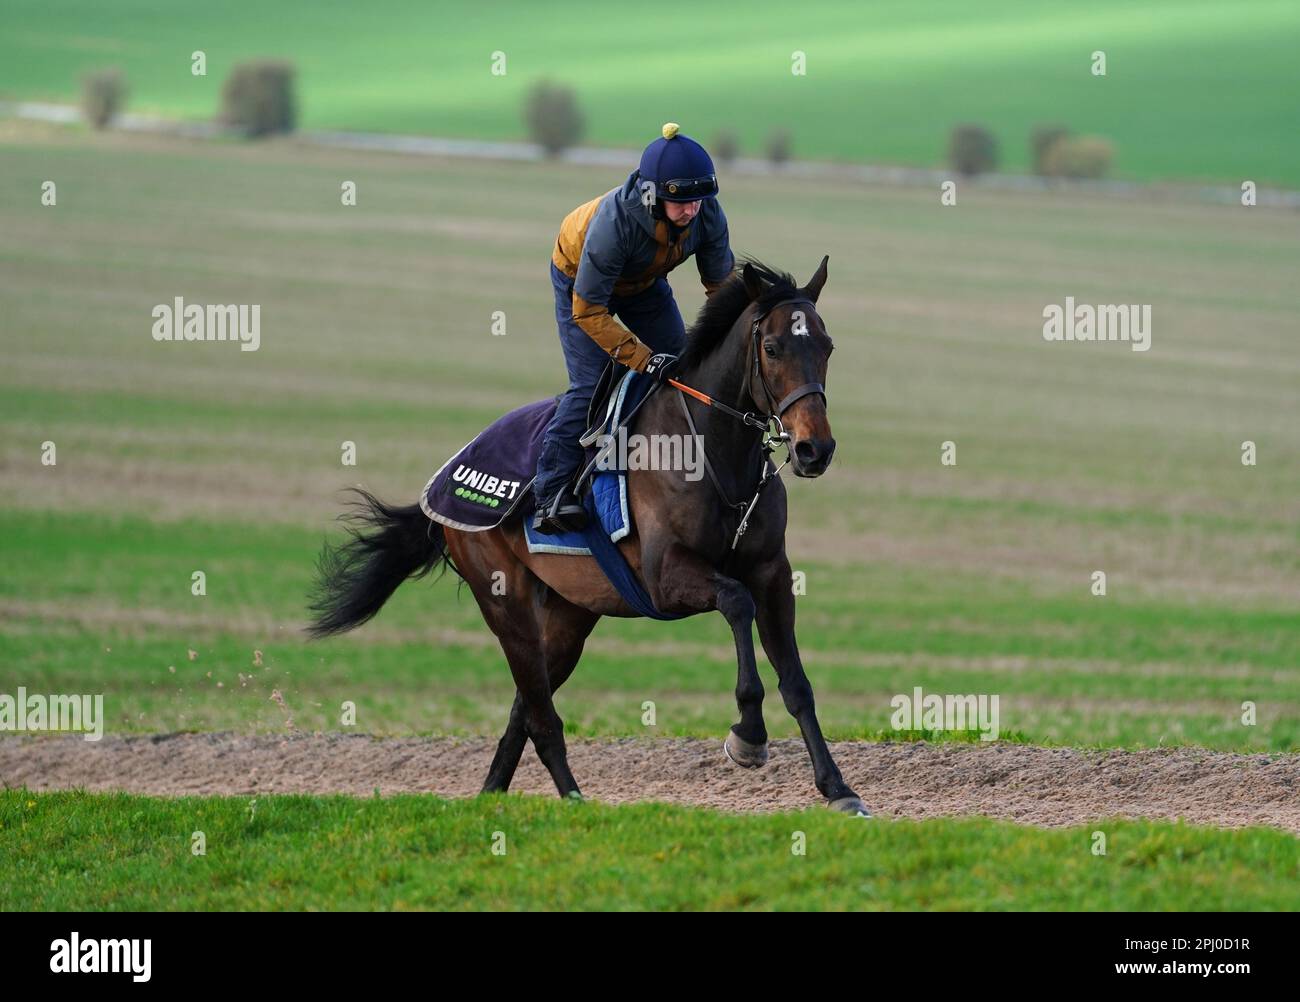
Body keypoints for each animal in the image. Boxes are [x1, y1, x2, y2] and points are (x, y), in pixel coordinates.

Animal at [308, 256, 870, 816]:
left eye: (826, 346)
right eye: (772, 348)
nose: (814, 449)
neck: (712, 451)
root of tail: (448, 472)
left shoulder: (771, 572)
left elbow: (796, 682)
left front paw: (839, 789)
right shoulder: (665, 578)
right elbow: (735, 602)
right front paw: (748, 734)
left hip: (570, 616)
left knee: (523, 708)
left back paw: (494, 798)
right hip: (503, 600)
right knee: (539, 715)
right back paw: (573, 800)